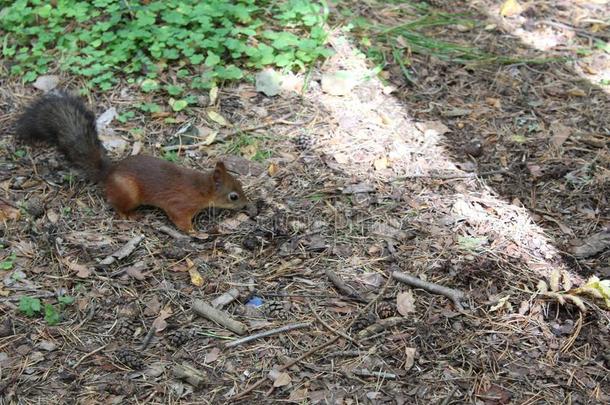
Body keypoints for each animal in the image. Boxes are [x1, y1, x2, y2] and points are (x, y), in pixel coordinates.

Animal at [17, 90, 248, 230]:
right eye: (234, 196)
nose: (247, 205)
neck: (201, 188)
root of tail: (109, 173)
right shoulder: (180, 205)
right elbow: (179, 220)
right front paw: (196, 233)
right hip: (128, 193)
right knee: (117, 207)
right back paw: (130, 216)